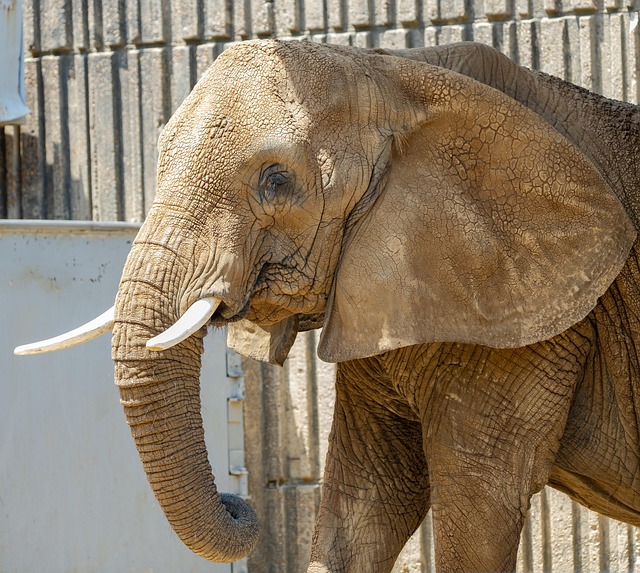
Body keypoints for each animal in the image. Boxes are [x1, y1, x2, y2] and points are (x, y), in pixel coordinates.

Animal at [15, 40, 640, 572]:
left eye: (275, 181)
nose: (240, 501)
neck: (395, 72)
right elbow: (368, 497)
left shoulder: (528, 310)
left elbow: (477, 496)